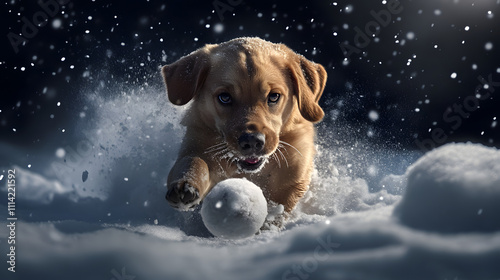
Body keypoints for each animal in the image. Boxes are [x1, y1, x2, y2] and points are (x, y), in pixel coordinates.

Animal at [161, 36, 328, 212]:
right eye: (224, 97)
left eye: (274, 96)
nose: (252, 141)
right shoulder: (195, 143)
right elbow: (193, 162)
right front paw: (185, 185)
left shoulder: (293, 178)